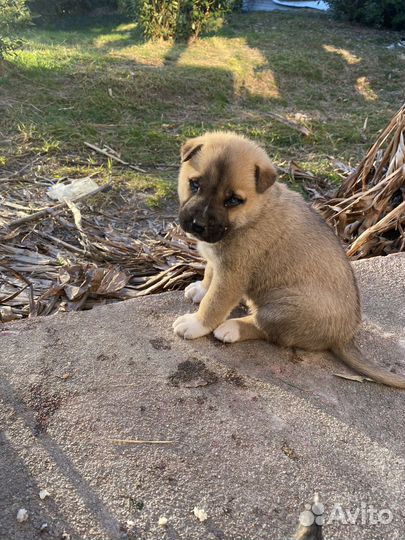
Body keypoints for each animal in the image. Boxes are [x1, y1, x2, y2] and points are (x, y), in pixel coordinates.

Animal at [173, 133, 404, 390]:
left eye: (233, 200)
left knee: (266, 328)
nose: (198, 226)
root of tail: (344, 337)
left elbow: (214, 303)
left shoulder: (232, 276)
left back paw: (231, 328)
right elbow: (209, 273)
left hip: (286, 305)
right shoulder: (218, 262)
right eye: (195, 184)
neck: (253, 213)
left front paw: (196, 324)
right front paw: (200, 289)